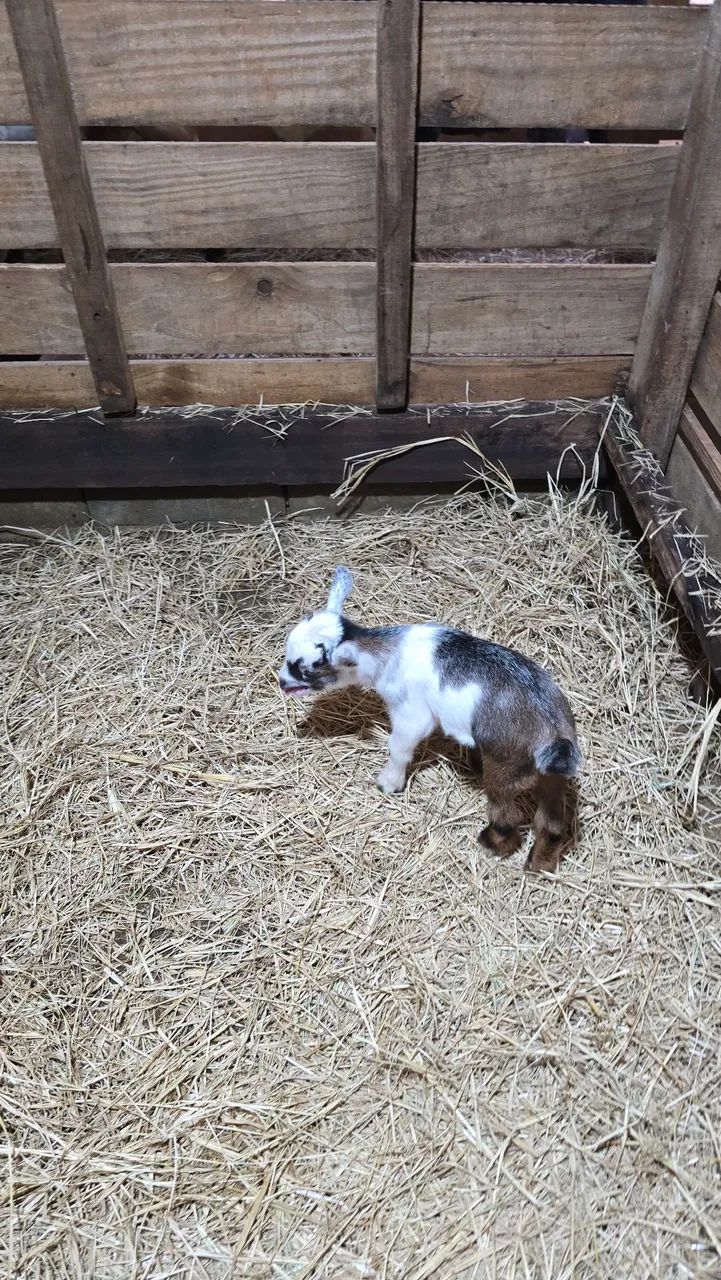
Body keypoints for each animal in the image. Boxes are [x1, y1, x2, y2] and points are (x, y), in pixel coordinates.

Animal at [278, 567, 581, 873]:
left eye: (307, 667)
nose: (282, 682)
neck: (385, 655)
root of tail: (552, 734)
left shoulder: (411, 715)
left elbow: (399, 747)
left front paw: (388, 783)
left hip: (505, 767)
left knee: (508, 815)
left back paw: (491, 842)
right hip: (551, 777)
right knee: (552, 824)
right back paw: (539, 864)